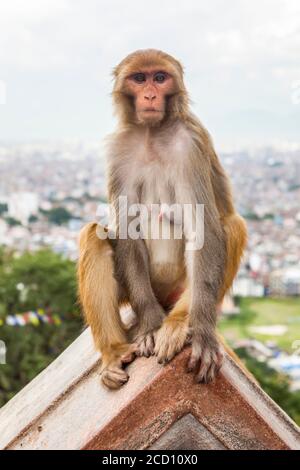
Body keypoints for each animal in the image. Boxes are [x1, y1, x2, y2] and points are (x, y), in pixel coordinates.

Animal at [77, 50, 246, 390]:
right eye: (139, 78)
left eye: (160, 77)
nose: (150, 95)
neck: (152, 132)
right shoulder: (119, 150)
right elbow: (126, 229)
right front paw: (150, 326)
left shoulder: (191, 144)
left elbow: (202, 228)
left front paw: (202, 336)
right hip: (139, 290)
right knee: (95, 236)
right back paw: (115, 352)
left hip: (184, 287)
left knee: (230, 226)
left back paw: (181, 322)